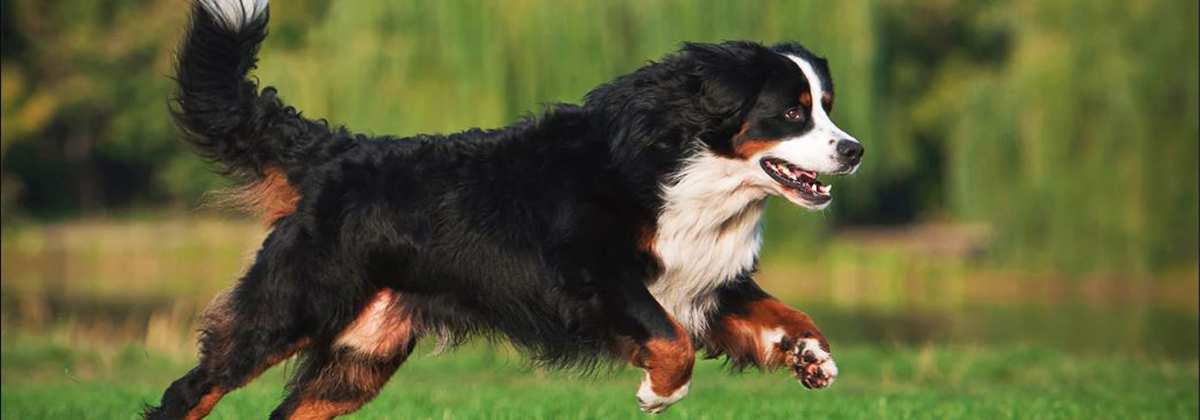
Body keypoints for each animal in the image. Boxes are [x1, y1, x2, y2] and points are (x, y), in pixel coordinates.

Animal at [147, 1, 864, 417]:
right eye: (793, 112)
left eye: (826, 104)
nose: (854, 150)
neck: (691, 171)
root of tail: (335, 154)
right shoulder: (591, 277)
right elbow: (671, 341)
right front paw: (659, 393)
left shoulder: (704, 280)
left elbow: (780, 313)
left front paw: (812, 356)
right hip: (292, 307)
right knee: (193, 390)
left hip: (362, 356)